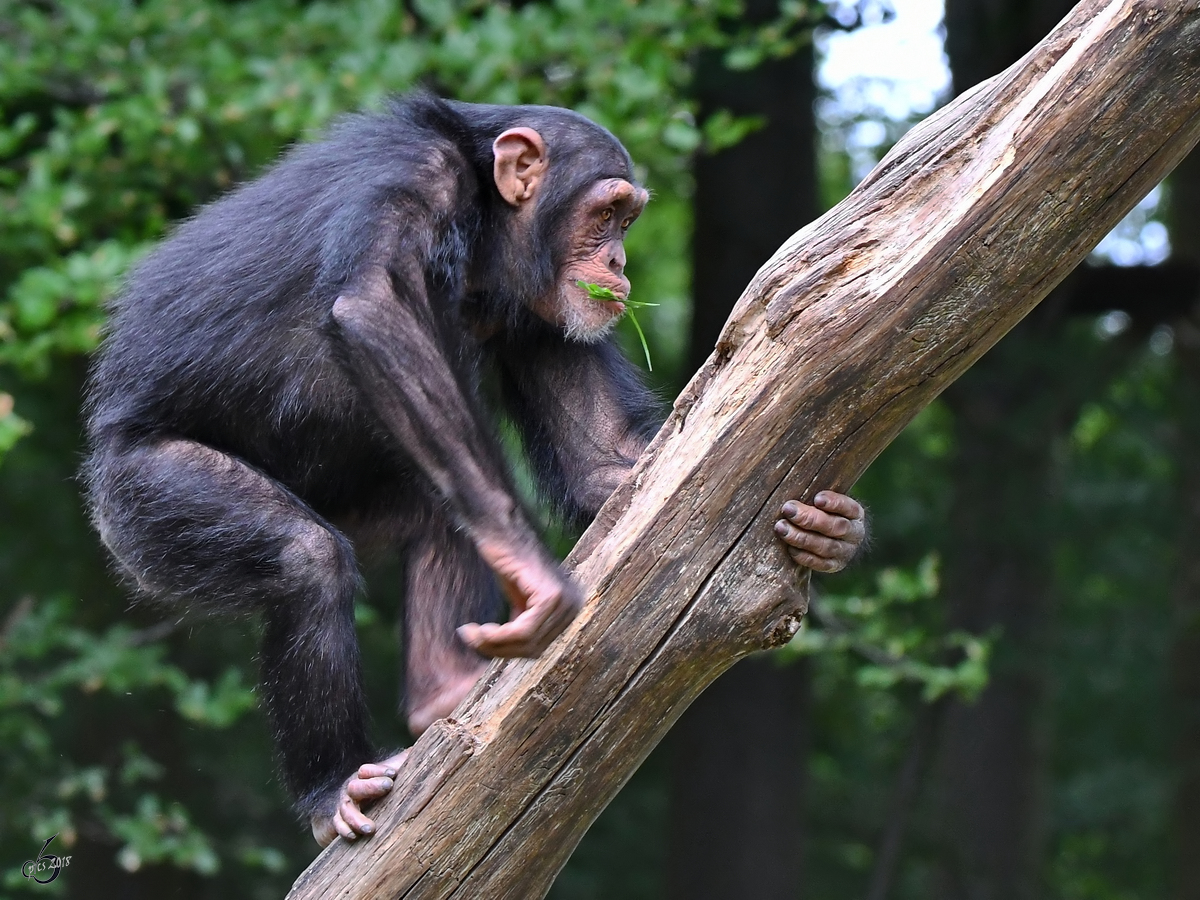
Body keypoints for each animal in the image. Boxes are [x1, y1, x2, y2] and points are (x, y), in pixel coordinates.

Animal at [84, 95, 868, 849]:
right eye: (605, 215)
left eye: (627, 219)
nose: (619, 263)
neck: (488, 227)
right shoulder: (412, 174)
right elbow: (372, 309)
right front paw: (532, 567)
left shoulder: (546, 314)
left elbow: (603, 461)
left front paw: (833, 531)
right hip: (142, 504)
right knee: (303, 557)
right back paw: (332, 789)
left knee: (439, 507)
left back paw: (446, 694)